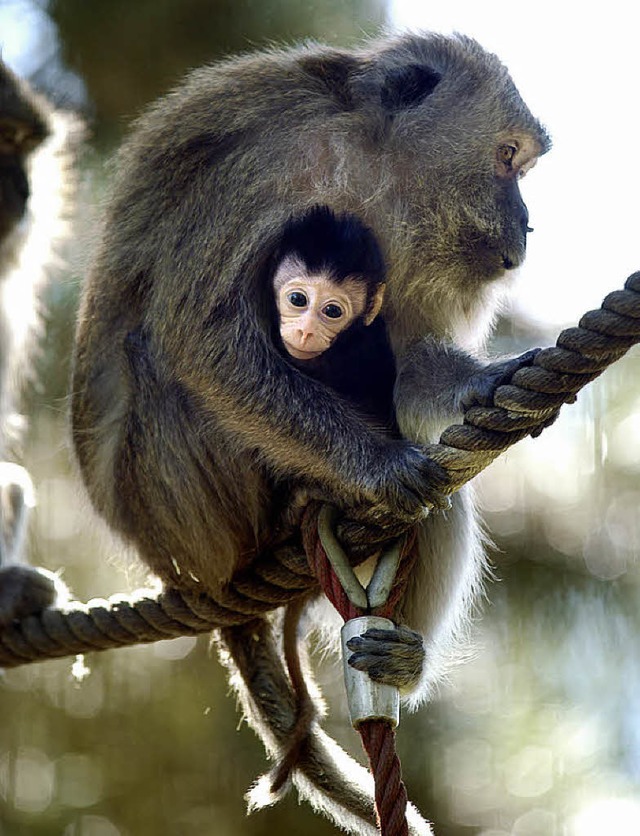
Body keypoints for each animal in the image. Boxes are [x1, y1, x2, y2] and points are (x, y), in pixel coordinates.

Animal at [70, 32, 552, 836]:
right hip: (187, 506)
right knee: (161, 357)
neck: (368, 162)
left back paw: (400, 661)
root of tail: (174, 563)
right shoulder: (265, 167)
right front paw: (378, 464)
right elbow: (203, 338)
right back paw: (300, 505)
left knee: (438, 495)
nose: (527, 224)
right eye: (508, 158)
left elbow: (407, 362)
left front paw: (480, 382)